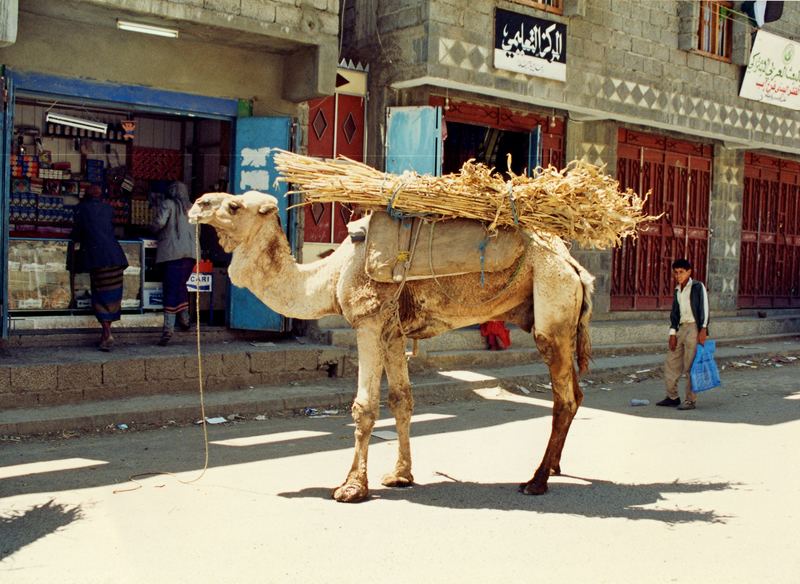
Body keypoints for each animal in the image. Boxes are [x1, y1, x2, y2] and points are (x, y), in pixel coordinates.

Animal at [191, 190, 592, 502]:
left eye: (234, 206)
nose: (198, 204)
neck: (331, 275)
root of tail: (574, 266)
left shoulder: (368, 322)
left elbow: (364, 407)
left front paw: (352, 488)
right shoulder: (394, 332)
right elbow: (402, 400)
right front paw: (401, 475)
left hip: (552, 306)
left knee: (563, 397)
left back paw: (536, 480)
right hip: (559, 312)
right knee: (576, 392)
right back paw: (554, 467)